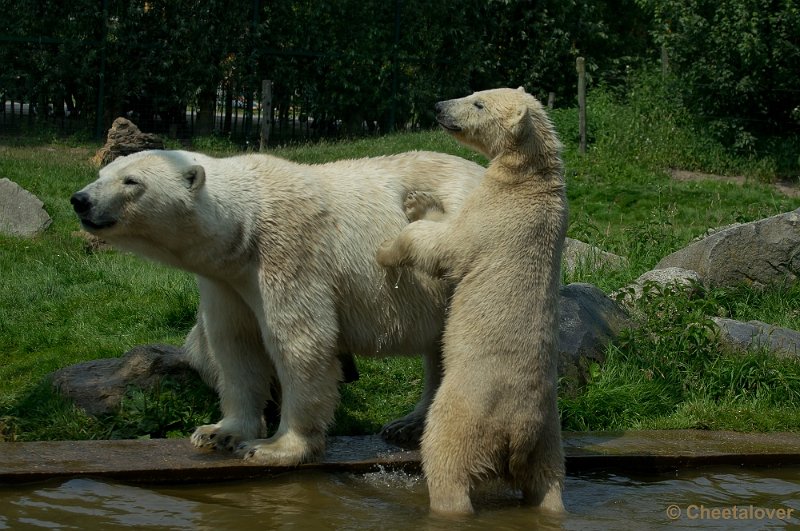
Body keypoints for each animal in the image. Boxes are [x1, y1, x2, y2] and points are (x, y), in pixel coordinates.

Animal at [70, 149, 482, 466]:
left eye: (131, 181)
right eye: (102, 173)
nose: (80, 200)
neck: (244, 223)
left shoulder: (289, 253)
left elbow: (300, 343)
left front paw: (275, 448)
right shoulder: (226, 282)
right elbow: (235, 345)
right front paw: (218, 433)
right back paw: (408, 425)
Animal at [376, 87, 568, 516]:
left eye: (478, 102)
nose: (438, 107)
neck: (530, 179)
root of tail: (519, 431)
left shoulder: (494, 216)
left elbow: (446, 245)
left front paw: (406, 219)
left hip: (467, 412)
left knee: (446, 458)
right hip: (549, 436)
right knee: (548, 482)